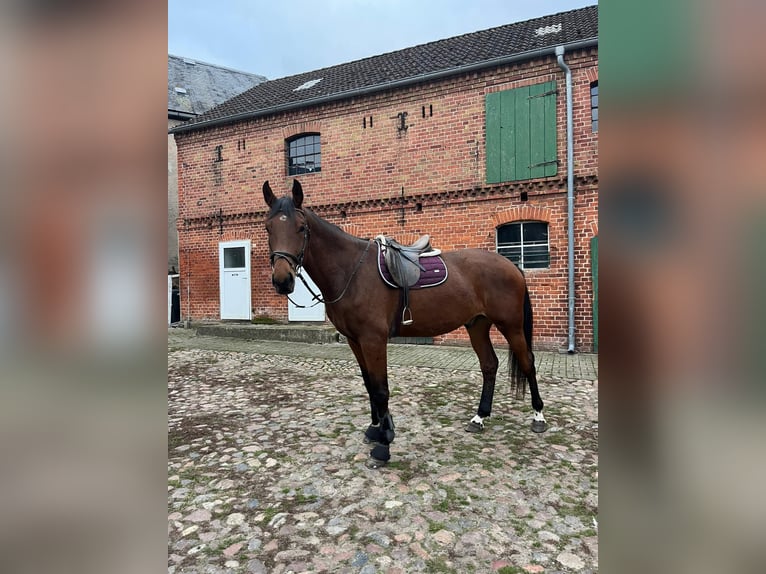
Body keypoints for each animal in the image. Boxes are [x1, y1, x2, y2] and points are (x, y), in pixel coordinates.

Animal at [262, 179, 547, 467]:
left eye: (301, 227)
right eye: (268, 227)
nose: (282, 281)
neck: (351, 271)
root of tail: (512, 265)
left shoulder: (373, 340)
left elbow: (381, 390)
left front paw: (384, 444)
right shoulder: (354, 340)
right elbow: (369, 384)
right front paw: (375, 429)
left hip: (511, 326)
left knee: (527, 362)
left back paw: (538, 417)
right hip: (477, 325)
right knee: (489, 365)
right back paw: (479, 418)